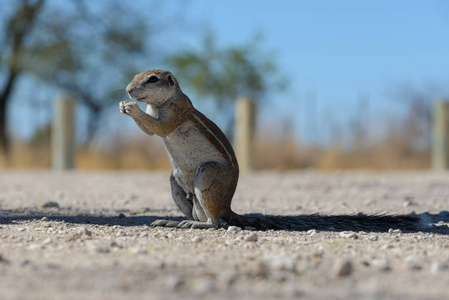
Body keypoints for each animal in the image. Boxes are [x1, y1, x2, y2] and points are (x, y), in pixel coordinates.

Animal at [121, 69, 428, 231]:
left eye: (151, 79)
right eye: (135, 76)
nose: (127, 90)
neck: (160, 103)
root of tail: (228, 203)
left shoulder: (178, 111)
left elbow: (161, 128)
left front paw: (132, 109)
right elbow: (151, 131)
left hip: (208, 176)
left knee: (217, 222)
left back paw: (198, 225)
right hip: (177, 184)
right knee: (200, 212)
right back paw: (171, 221)